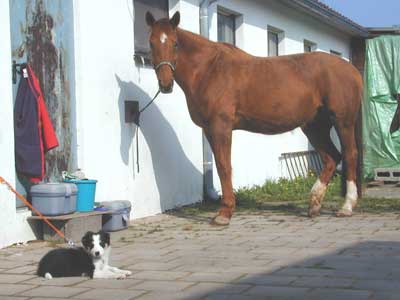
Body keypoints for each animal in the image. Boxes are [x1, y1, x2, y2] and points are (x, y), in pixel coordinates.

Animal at [146, 11, 362, 224]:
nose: (165, 84)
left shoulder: (220, 126)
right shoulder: (208, 129)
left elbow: (224, 166)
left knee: (349, 154)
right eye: (151, 43)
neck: (209, 69)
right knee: (331, 157)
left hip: (342, 122)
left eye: (175, 43)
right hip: (314, 126)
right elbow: (220, 164)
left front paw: (225, 212)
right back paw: (314, 204)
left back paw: (346, 206)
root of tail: (353, 71)